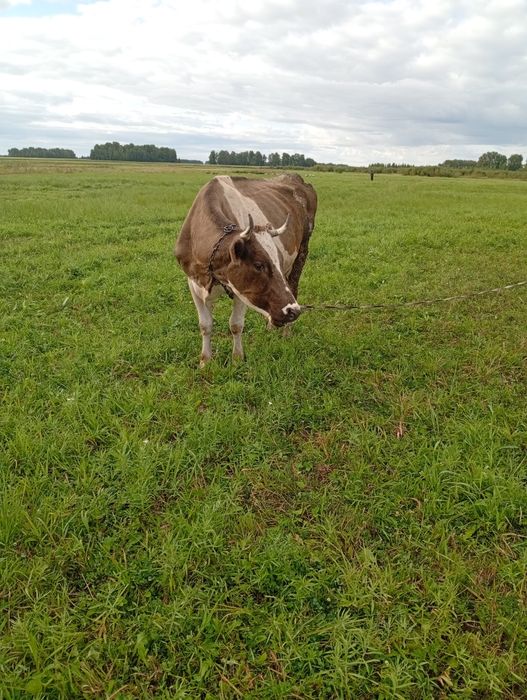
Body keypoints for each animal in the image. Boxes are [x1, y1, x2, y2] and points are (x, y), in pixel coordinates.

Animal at [175, 173, 317, 366]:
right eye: (258, 265)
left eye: (277, 261)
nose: (293, 311)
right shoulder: (193, 282)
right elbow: (205, 325)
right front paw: (205, 361)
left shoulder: (242, 291)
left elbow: (236, 324)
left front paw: (237, 359)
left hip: (302, 252)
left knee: (294, 287)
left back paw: (287, 332)